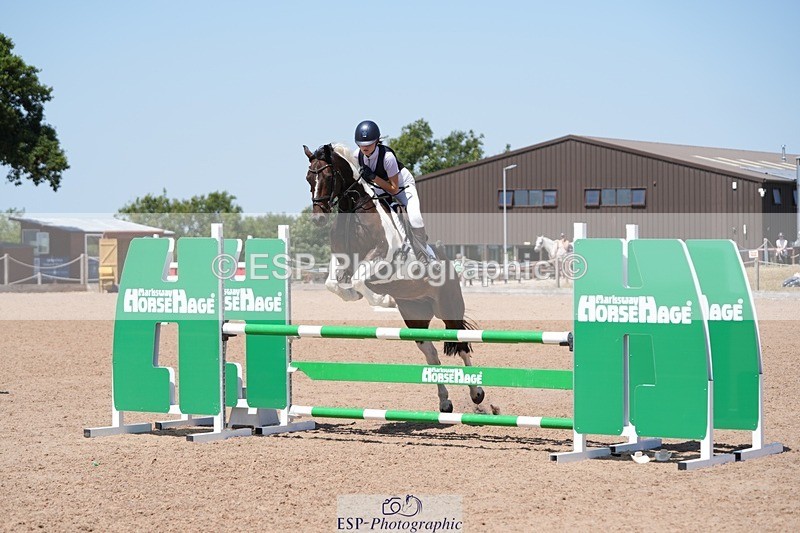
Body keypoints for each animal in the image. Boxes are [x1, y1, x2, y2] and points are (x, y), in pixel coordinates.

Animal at [303, 143, 498, 414]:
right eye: (308, 178)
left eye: (329, 176)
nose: (318, 218)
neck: (354, 210)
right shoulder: (341, 259)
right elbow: (333, 284)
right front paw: (355, 295)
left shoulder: (382, 258)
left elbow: (360, 280)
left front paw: (384, 300)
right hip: (415, 315)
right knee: (431, 353)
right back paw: (445, 401)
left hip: (448, 307)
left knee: (460, 343)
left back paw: (477, 394)